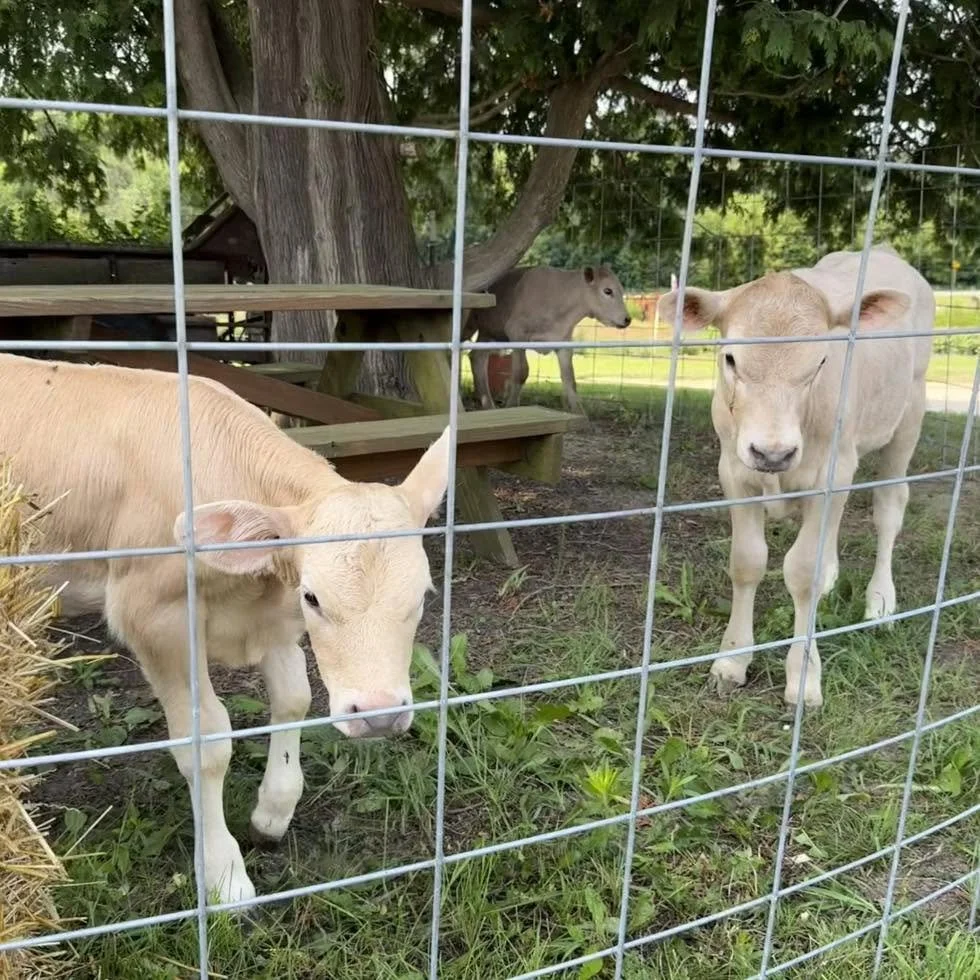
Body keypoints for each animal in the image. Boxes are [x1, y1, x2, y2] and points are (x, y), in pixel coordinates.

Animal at [0, 353, 451, 903]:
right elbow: (208, 742)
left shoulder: (271, 618)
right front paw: (224, 875)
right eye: (313, 597)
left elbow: (294, 698)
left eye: (423, 595)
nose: (380, 715)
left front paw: (273, 812)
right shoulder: (154, 616)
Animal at [468, 265, 632, 415]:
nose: (627, 319)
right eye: (608, 291)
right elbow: (521, 373)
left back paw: (488, 405)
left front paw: (580, 414)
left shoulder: (563, 343)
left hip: (488, 333)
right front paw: (512, 406)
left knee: (477, 357)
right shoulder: (516, 332)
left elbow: (569, 379)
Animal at [657, 245, 934, 708]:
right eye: (730, 358)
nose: (774, 453)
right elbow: (747, 562)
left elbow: (804, 573)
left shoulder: (832, 473)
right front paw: (732, 659)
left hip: (909, 415)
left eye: (821, 361)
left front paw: (803, 679)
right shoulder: (734, 472)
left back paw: (880, 601)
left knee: (889, 508)